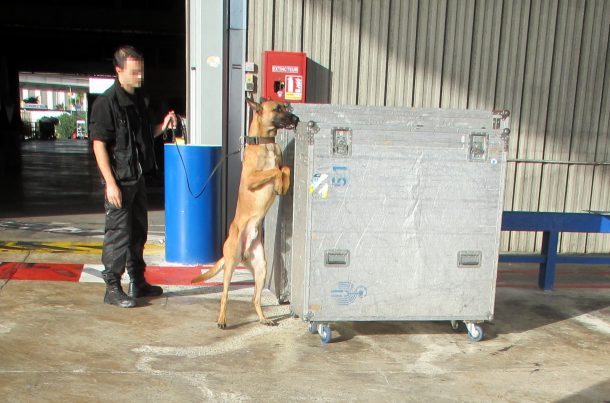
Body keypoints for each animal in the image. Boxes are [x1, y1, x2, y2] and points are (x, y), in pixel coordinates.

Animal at [189, 98, 296, 328]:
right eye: (278, 109)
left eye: (286, 106)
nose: (296, 118)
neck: (265, 143)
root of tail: (244, 252)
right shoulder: (250, 179)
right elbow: (274, 170)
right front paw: (277, 182)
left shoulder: (279, 166)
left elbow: (285, 169)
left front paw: (282, 185)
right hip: (230, 266)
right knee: (224, 296)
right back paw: (222, 319)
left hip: (261, 268)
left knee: (255, 298)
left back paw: (264, 319)